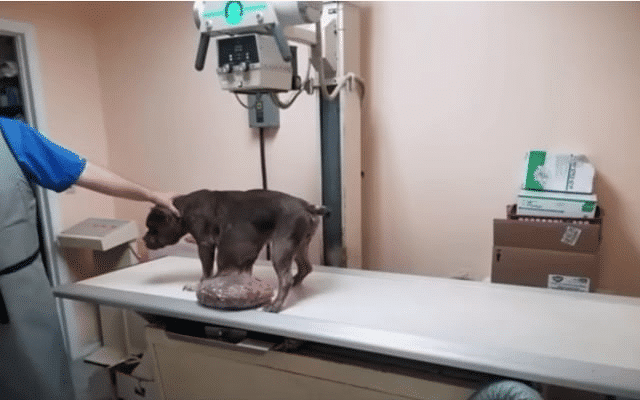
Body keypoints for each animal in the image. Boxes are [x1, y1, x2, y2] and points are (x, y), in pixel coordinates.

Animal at [143, 189, 328, 312]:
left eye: (153, 229)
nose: (144, 239)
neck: (184, 209)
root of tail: (308, 206)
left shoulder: (205, 244)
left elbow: (206, 271)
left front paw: (197, 284)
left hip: (281, 248)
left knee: (285, 279)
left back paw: (276, 305)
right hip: (300, 245)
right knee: (305, 267)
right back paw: (296, 283)